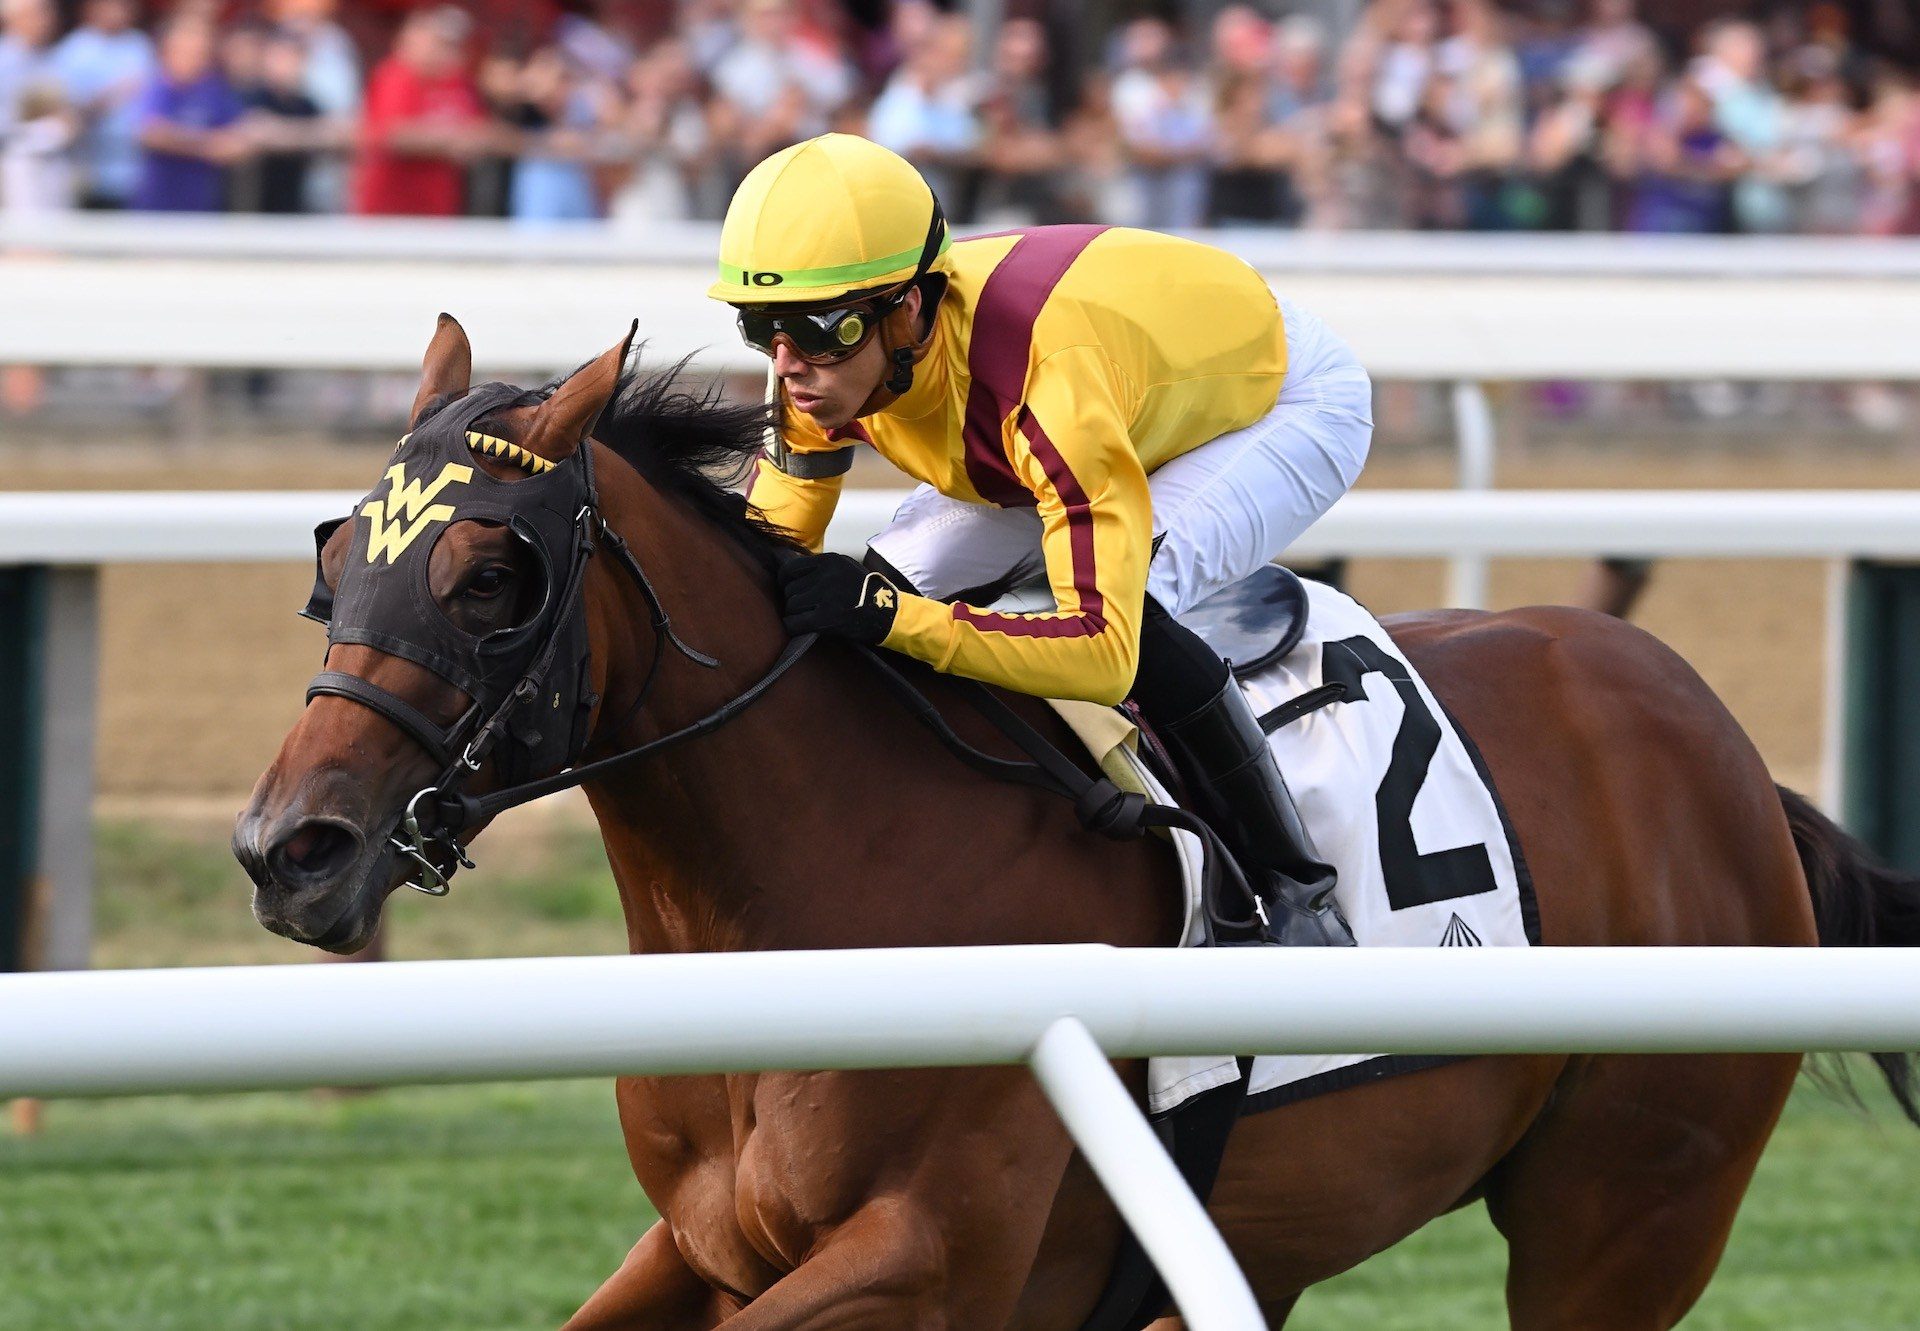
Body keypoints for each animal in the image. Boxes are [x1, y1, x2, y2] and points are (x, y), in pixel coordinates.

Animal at [232, 324, 1912, 1329]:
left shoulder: (933, 1258)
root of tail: (1724, 754)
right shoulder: (703, 1247)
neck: (808, 895)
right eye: (334, 554)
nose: (288, 849)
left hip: (1627, 1209)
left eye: (490, 577)